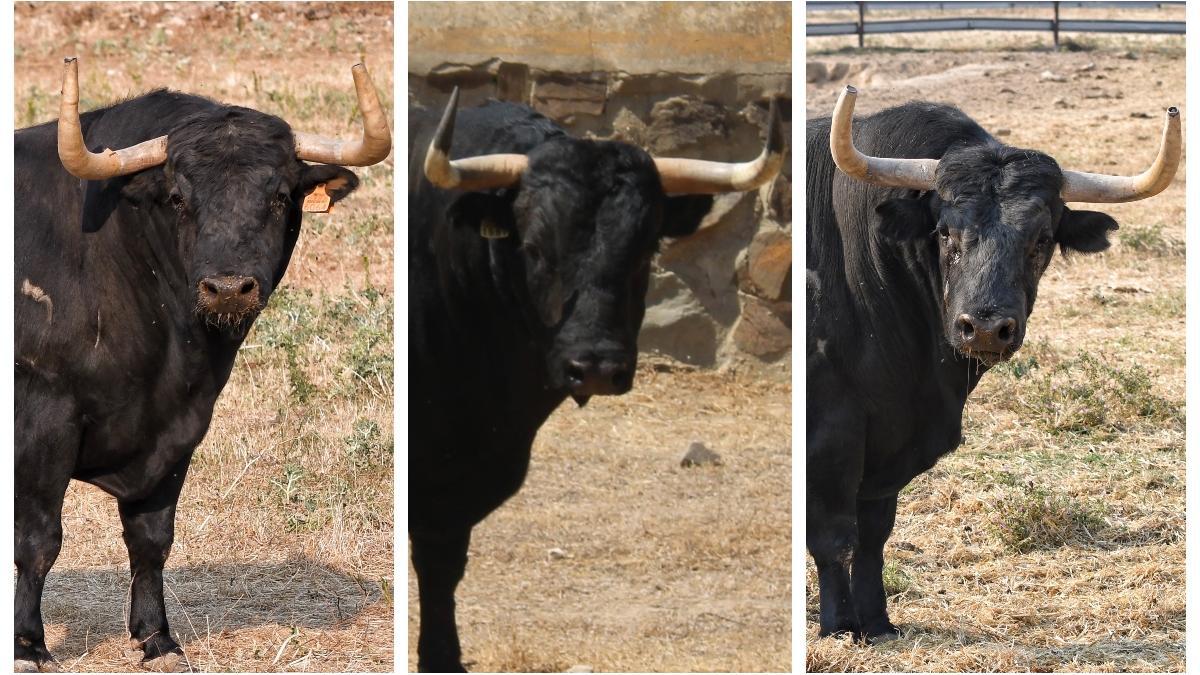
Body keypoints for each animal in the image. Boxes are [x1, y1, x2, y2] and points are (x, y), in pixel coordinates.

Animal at [14, 61, 388, 667]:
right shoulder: (43, 420)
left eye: (279, 196)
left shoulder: (177, 431)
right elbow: (39, 539)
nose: (228, 288)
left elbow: (151, 539)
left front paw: (157, 638)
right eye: (177, 197)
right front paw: (28, 644)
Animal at [806, 89, 1180, 638]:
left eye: (1042, 239)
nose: (984, 327)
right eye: (944, 232)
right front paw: (837, 627)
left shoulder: (889, 442)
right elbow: (834, 538)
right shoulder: (831, 434)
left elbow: (874, 535)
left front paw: (877, 623)